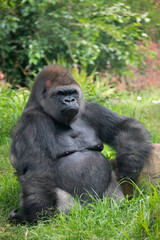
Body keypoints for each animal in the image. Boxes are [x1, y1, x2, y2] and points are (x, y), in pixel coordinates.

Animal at [8, 64, 152, 222]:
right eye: (60, 94)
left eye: (73, 93)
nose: (70, 100)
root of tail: (92, 211)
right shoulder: (32, 122)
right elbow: (37, 171)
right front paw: (34, 214)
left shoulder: (91, 109)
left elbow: (124, 126)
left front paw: (130, 162)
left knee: (115, 203)